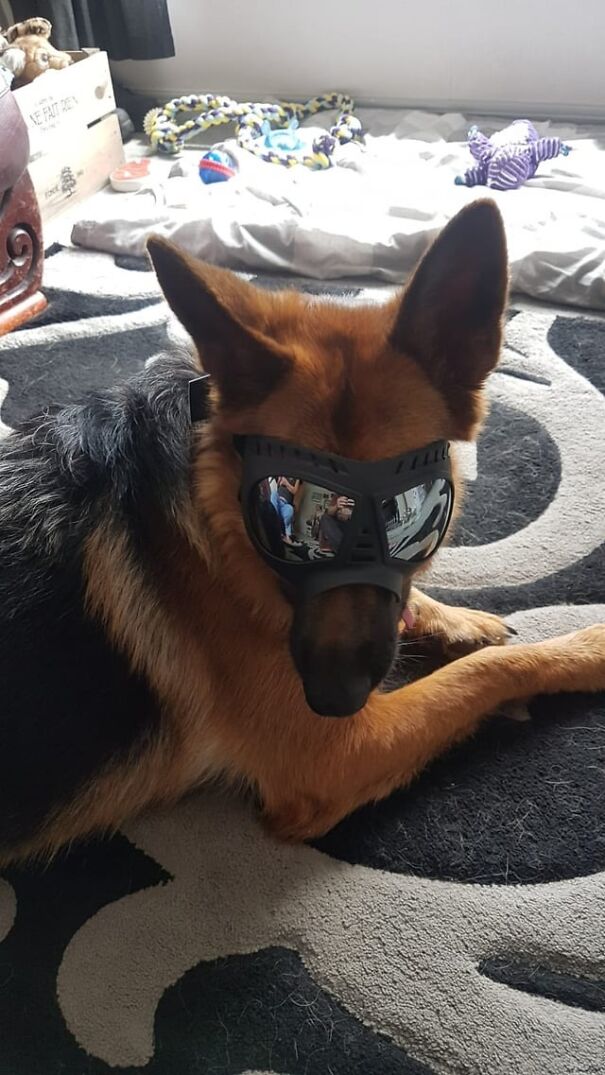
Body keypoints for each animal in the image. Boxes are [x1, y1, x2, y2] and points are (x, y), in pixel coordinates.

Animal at [1, 202, 605, 864]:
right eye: (279, 509)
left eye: (402, 510)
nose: (334, 700)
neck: (216, 520)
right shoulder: (334, 756)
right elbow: (489, 671)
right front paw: (585, 649)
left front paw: (456, 620)